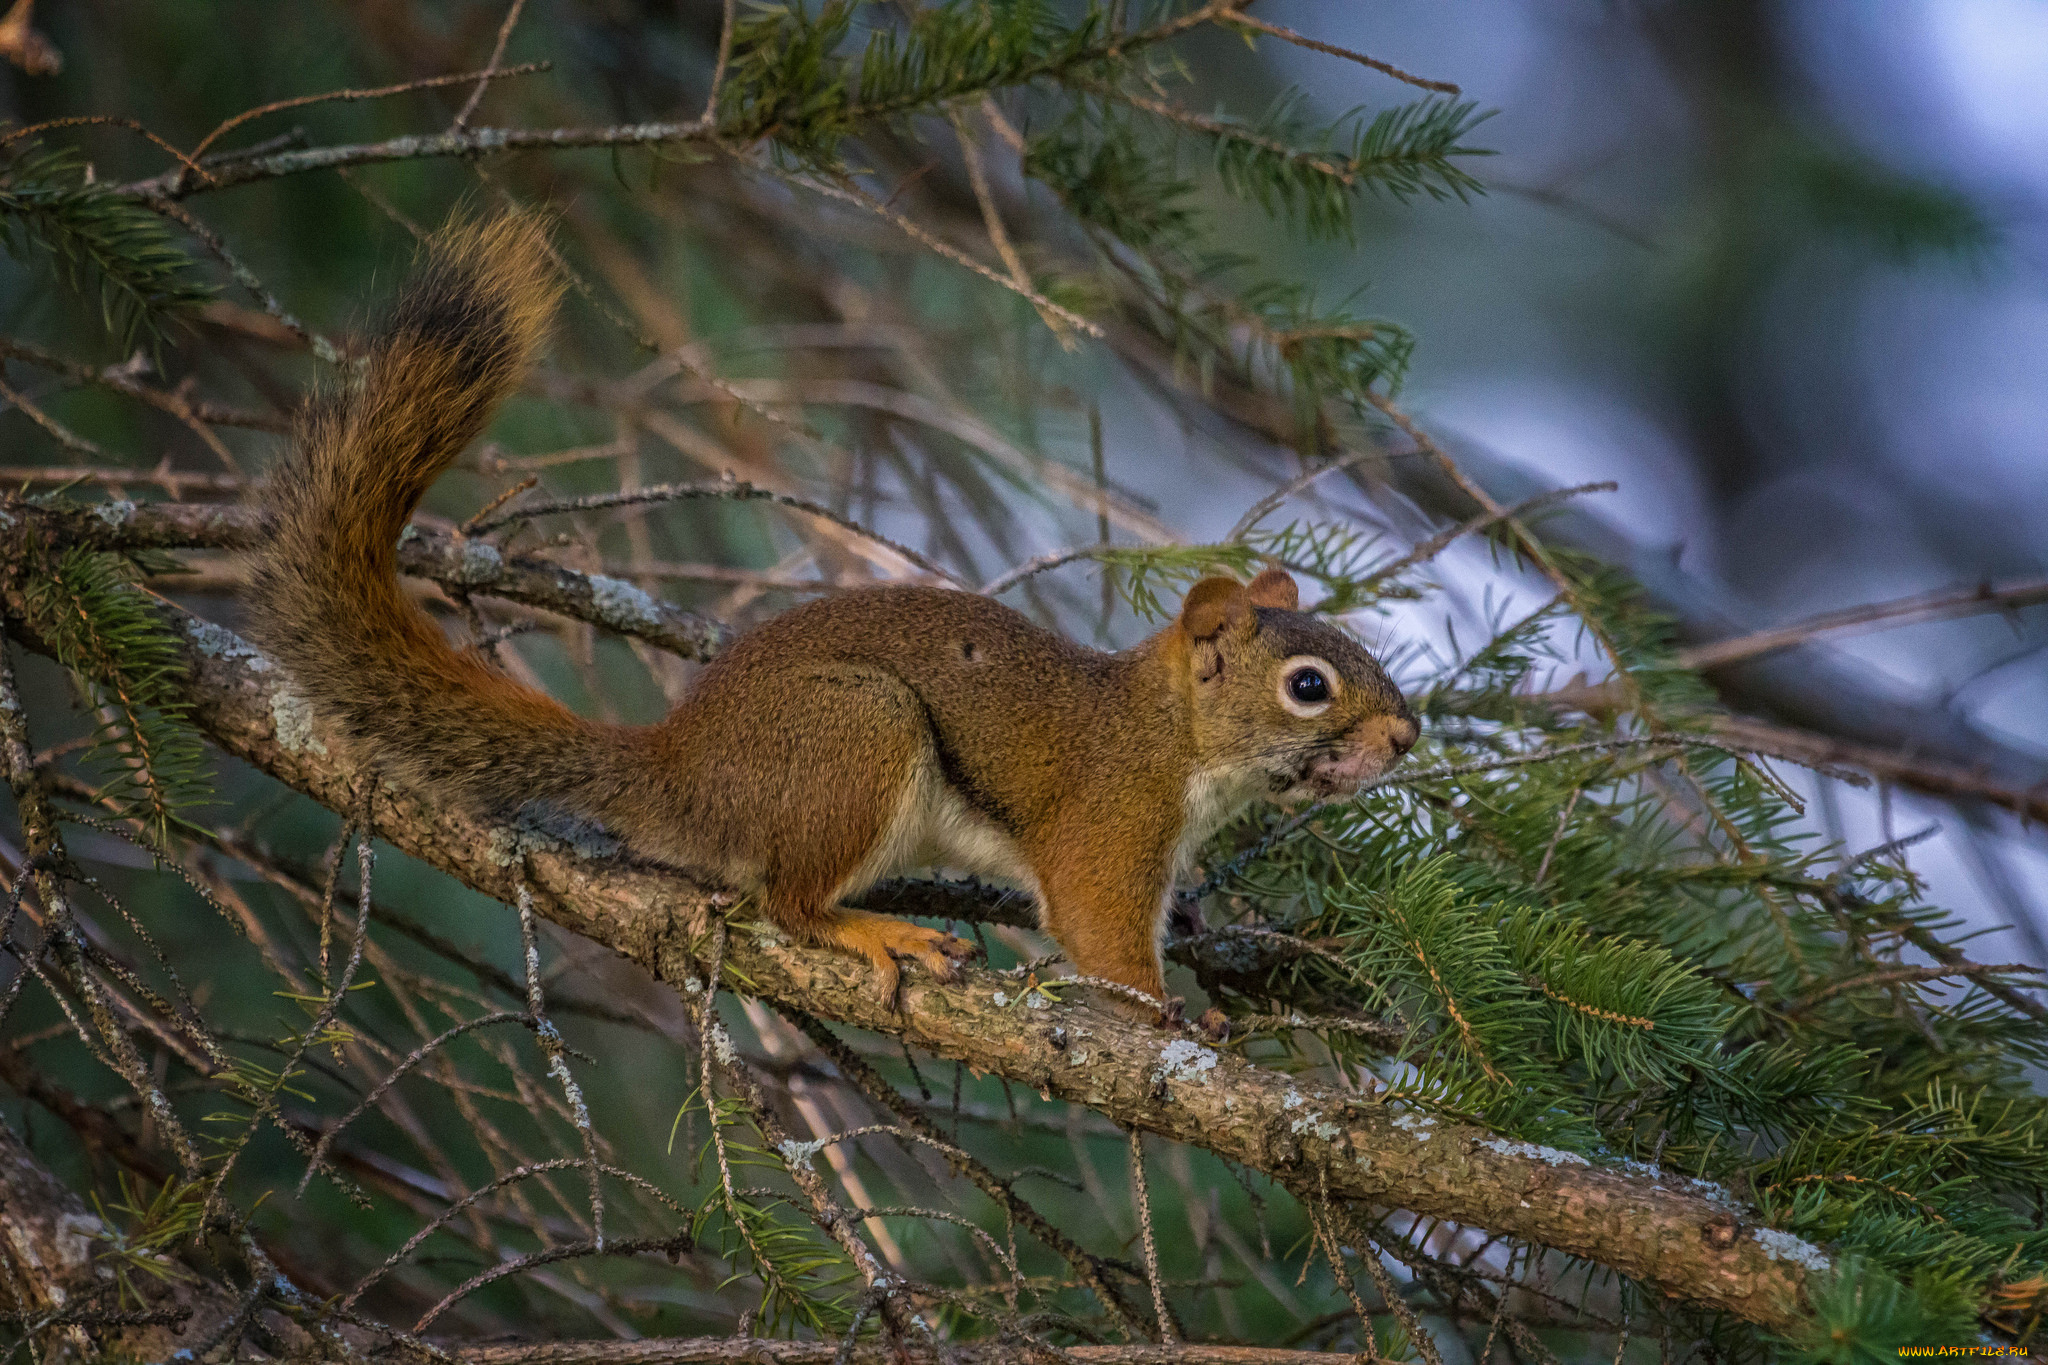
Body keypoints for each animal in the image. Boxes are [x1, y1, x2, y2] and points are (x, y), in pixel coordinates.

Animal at [247, 218, 1417, 1019]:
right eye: (1308, 685)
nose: (1407, 736)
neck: (1175, 738)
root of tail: (680, 768)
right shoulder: (1109, 824)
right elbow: (1102, 942)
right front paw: (1172, 1019)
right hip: (855, 735)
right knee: (789, 903)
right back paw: (880, 931)